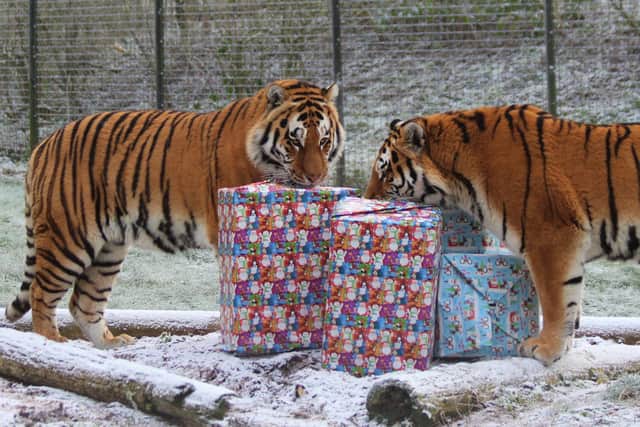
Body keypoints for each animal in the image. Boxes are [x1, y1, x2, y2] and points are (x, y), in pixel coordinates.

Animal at [5, 79, 345, 348]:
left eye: (324, 139)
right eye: (295, 138)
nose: (316, 177)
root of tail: (42, 145)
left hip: (108, 248)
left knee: (83, 302)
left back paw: (111, 344)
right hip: (68, 238)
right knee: (41, 293)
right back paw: (52, 343)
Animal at [364, 104, 640, 365]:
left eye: (385, 173)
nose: (366, 199)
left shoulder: (550, 237)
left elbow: (556, 300)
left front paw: (546, 348)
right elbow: (572, 301)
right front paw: (563, 346)